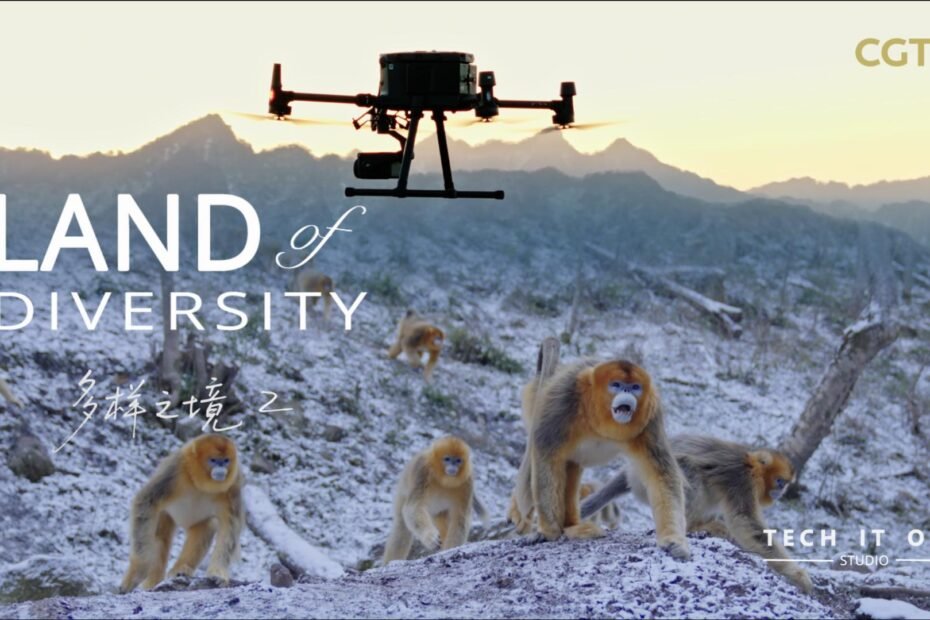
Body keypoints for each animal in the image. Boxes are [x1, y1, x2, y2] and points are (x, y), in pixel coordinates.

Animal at [120, 434, 245, 593]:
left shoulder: (233, 484)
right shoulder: (174, 469)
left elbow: (230, 527)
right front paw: (139, 568)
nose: (221, 468)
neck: (198, 481)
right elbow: (146, 502)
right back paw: (152, 581)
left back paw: (180, 570)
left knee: (206, 526)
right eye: (213, 460)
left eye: (226, 460)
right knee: (158, 536)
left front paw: (218, 573)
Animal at [382, 436, 476, 564]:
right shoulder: (422, 471)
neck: (443, 480)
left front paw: (451, 549)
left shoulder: (467, 482)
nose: (453, 467)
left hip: (438, 512)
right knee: (402, 526)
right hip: (402, 495)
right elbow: (413, 508)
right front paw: (430, 538)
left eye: (458, 461)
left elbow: (460, 519)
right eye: (447, 459)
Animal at [512, 358, 689, 559]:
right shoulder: (562, 401)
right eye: (616, 385)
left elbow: (661, 474)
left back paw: (571, 526)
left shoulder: (650, 415)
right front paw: (548, 533)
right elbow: (547, 458)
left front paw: (674, 540)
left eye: (635, 387)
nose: (627, 391)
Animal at [580, 434, 813, 593]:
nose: (781, 492)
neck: (751, 465)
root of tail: (632, 472)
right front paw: (798, 574)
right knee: (688, 469)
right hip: (649, 482)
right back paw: (693, 526)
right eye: (780, 481)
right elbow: (745, 522)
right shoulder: (741, 479)